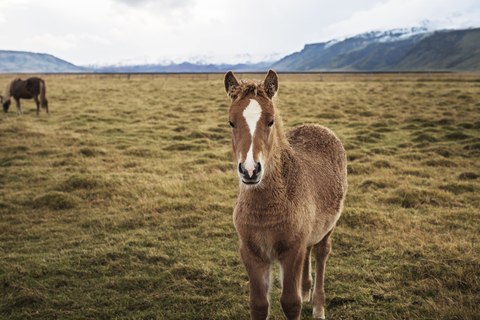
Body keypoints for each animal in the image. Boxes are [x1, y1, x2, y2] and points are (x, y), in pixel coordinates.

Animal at [225, 70, 348, 320]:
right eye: (231, 122)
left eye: (271, 120)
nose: (250, 170)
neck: (265, 209)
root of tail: (318, 126)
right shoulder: (251, 252)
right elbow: (258, 304)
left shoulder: (291, 252)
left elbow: (291, 303)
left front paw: (304, 300)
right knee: (310, 248)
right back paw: (307, 289)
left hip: (329, 227)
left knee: (321, 252)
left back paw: (318, 307)